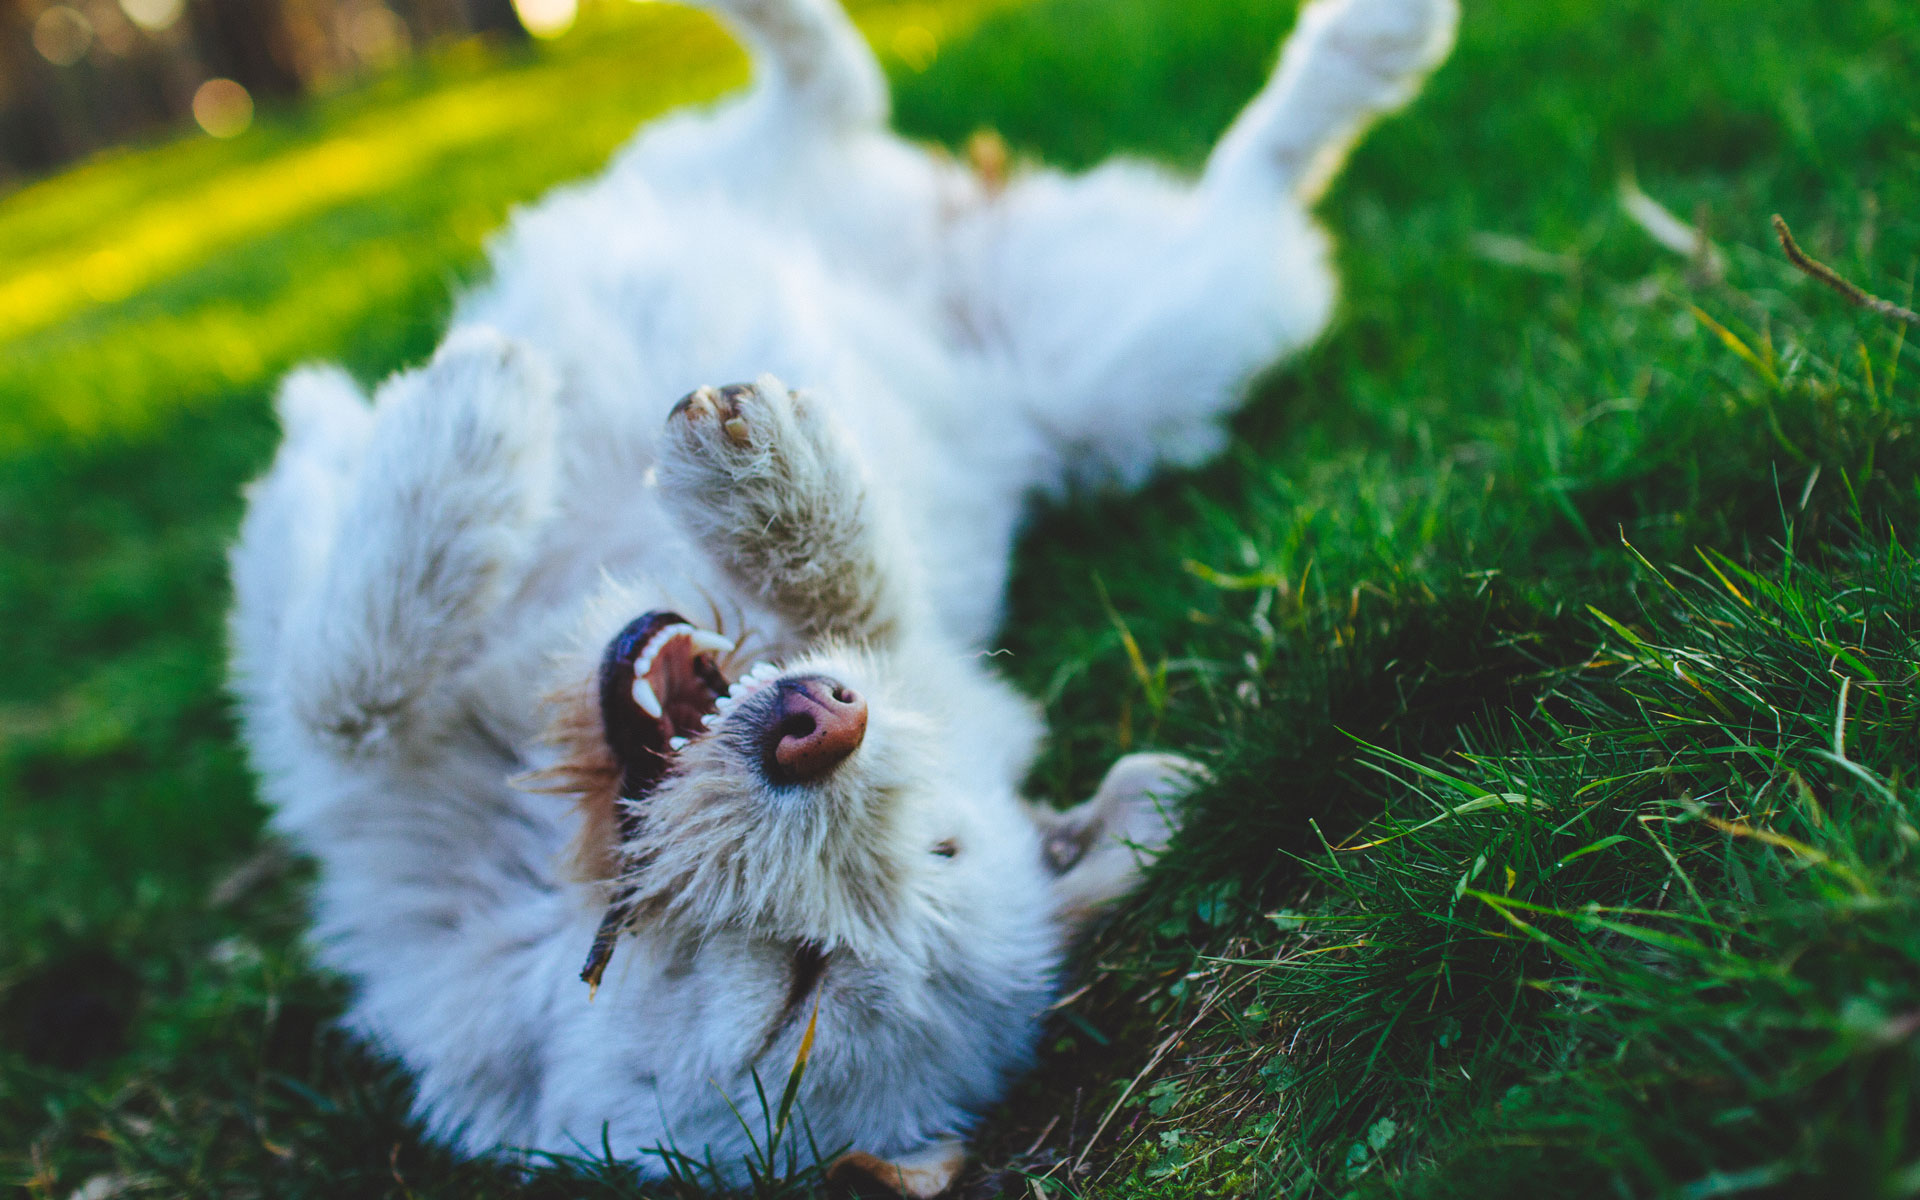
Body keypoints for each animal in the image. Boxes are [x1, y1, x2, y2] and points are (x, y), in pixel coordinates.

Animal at [224, 2, 1451, 1190]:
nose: (820, 724)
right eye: (941, 845)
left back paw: (1377, 42)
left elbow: (341, 693)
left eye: (798, 989)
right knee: (834, 91)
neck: (550, 835)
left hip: (1138, 361)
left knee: (1260, 186)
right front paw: (752, 476)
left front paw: (487, 410)